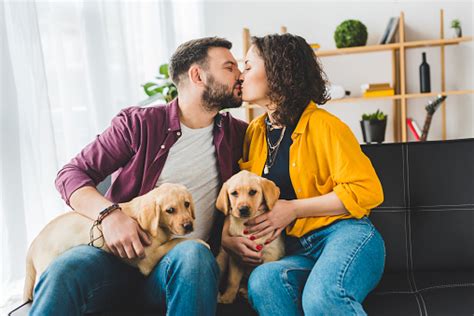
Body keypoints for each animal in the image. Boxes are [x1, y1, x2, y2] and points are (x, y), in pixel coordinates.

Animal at [23, 183, 206, 302]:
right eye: (170, 210)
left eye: (187, 204)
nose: (189, 226)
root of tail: (32, 245)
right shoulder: (147, 258)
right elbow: (175, 241)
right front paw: (199, 240)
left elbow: (172, 240)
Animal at [216, 170, 286, 304]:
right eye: (234, 193)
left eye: (253, 192)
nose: (243, 209)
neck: (246, 224)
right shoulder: (236, 256)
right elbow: (232, 279)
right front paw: (228, 297)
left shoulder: (271, 253)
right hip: (222, 257)